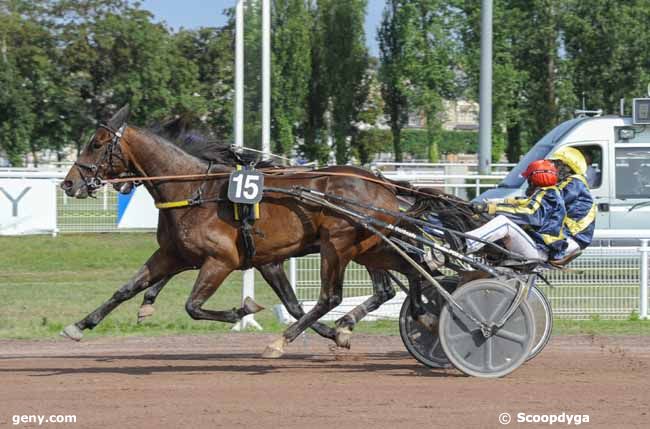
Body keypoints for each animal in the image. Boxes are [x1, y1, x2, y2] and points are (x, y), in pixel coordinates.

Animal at [62, 103, 436, 354]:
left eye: (97, 143)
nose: (68, 183)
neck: (194, 191)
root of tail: (381, 182)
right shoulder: (176, 254)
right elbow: (125, 289)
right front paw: (79, 325)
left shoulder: (221, 260)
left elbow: (193, 306)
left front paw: (243, 310)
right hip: (371, 247)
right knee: (404, 276)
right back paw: (417, 315)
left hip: (338, 246)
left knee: (334, 296)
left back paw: (282, 341)